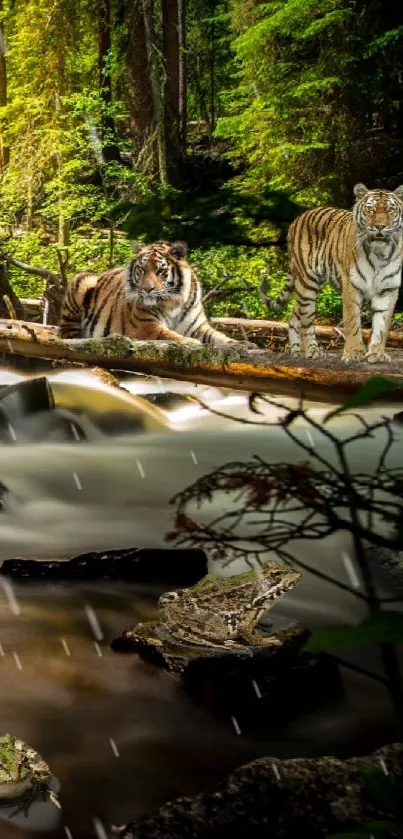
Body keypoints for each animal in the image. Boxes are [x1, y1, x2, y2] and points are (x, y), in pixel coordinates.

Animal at [59, 241, 256, 350]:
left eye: (160, 271)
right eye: (141, 269)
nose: (147, 289)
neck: (174, 303)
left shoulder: (198, 327)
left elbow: (219, 337)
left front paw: (242, 344)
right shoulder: (145, 326)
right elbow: (169, 335)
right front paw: (192, 343)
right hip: (83, 280)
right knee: (67, 333)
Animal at [260, 185, 403, 362]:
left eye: (391, 210)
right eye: (370, 209)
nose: (380, 226)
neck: (380, 254)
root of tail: (298, 218)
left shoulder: (388, 289)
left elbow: (382, 325)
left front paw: (377, 354)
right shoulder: (351, 286)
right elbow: (352, 322)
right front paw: (354, 353)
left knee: (294, 318)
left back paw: (296, 352)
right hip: (307, 283)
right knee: (306, 320)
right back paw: (312, 351)